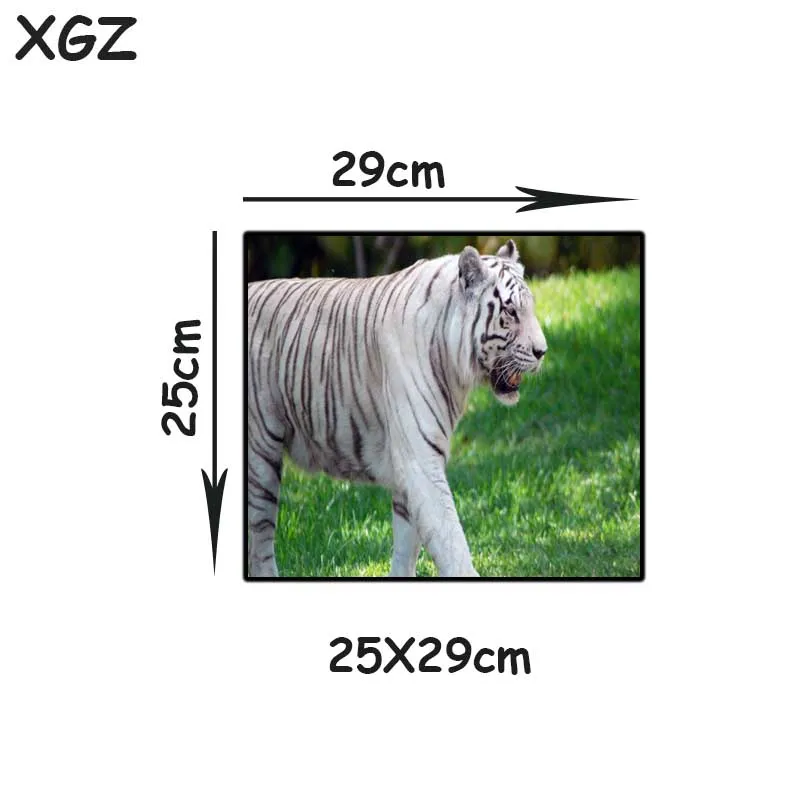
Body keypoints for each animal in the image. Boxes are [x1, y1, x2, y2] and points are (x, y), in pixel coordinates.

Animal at [247, 239, 547, 577]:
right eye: (510, 311)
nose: (543, 351)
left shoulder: (411, 469)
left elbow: (407, 546)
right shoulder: (420, 462)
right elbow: (451, 540)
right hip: (261, 457)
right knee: (260, 541)